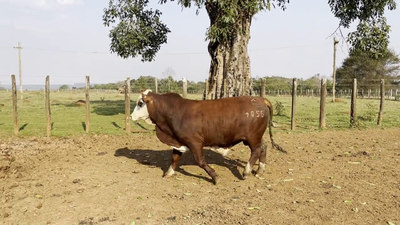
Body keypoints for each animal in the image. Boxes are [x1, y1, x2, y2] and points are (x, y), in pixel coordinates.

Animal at [131, 89, 284, 184]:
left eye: (140, 103)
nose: (132, 116)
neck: (172, 112)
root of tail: (261, 99)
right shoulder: (178, 141)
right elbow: (175, 158)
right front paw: (169, 172)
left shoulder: (194, 142)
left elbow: (200, 161)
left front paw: (215, 176)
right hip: (257, 136)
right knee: (263, 147)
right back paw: (260, 170)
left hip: (252, 137)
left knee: (256, 151)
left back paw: (246, 171)